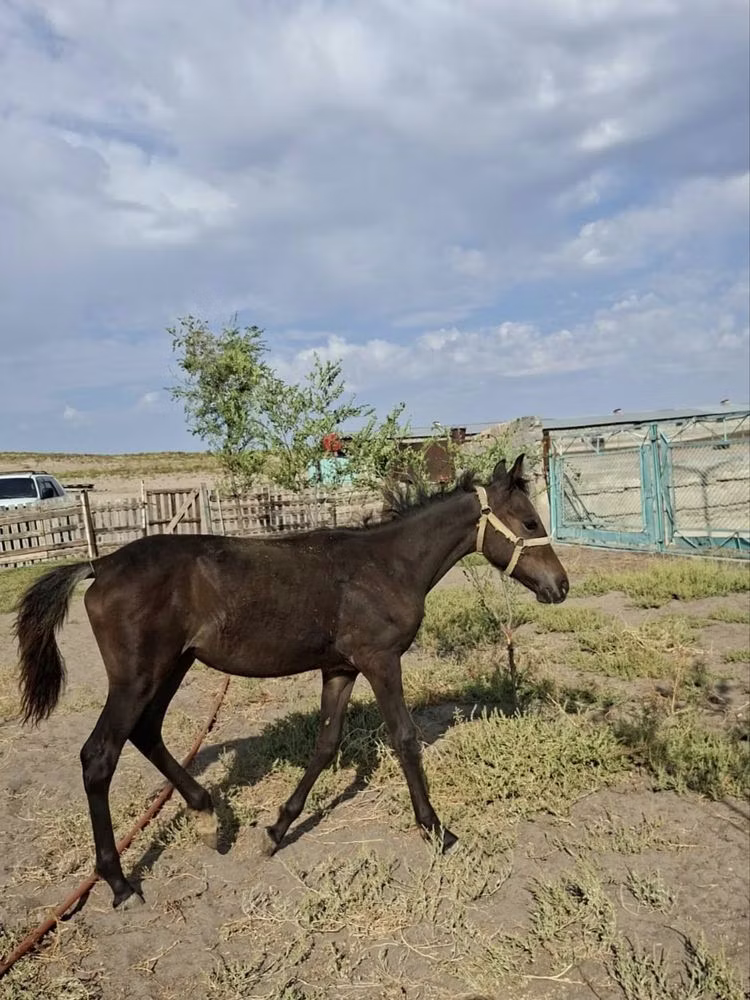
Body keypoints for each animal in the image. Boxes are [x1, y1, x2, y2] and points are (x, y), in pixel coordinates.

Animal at [14, 455, 568, 910]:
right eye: (529, 521)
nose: (560, 586)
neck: (386, 565)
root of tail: (99, 564)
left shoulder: (342, 668)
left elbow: (325, 744)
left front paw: (277, 829)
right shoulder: (381, 660)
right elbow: (405, 739)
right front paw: (436, 829)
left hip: (171, 668)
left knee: (146, 732)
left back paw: (208, 814)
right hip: (137, 677)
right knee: (99, 756)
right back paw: (120, 883)